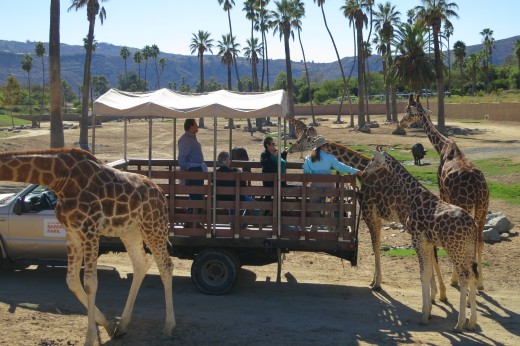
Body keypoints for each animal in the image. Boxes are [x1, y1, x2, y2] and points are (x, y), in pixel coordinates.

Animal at [0, 149, 176, 346]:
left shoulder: (89, 230)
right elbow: (72, 282)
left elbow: (90, 283)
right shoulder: (72, 233)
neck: (59, 178)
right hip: (130, 230)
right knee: (141, 264)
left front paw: (90, 337)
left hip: (153, 226)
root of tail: (161, 192)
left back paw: (168, 326)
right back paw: (122, 326)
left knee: (166, 265)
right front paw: (109, 325)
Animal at [290, 132, 448, 300]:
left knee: (433, 251)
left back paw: (439, 293)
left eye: (302, 140)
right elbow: (376, 245)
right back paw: (439, 293)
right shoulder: (375, 215)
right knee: (433, 251)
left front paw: (377, 283)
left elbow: (375, 246)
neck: (364, 170)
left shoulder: (369, 212)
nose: (290, 148)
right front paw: (374, 280)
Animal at [362, 150, 480, 332]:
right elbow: (429, 273)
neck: (413, 195)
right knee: (473, 275)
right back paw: (472, 322)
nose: (365, 171)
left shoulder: (417, 239)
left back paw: (460, 323)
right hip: (468, 249)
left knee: (464, 277)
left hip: (455, 249)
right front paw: (429, 310)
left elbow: (423, 275)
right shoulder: (428, 242)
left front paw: (424, 315)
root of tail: (473, 226)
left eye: (374, 159)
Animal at [400, 93, 490, 290]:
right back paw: (480, 283)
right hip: (483, 205)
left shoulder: (443, 192)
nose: (401, 123)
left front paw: (452, 280)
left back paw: (459, 279)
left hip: (465, 203)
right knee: (480, 240)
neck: (441, 146)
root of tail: (479, 186)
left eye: (408, 110)